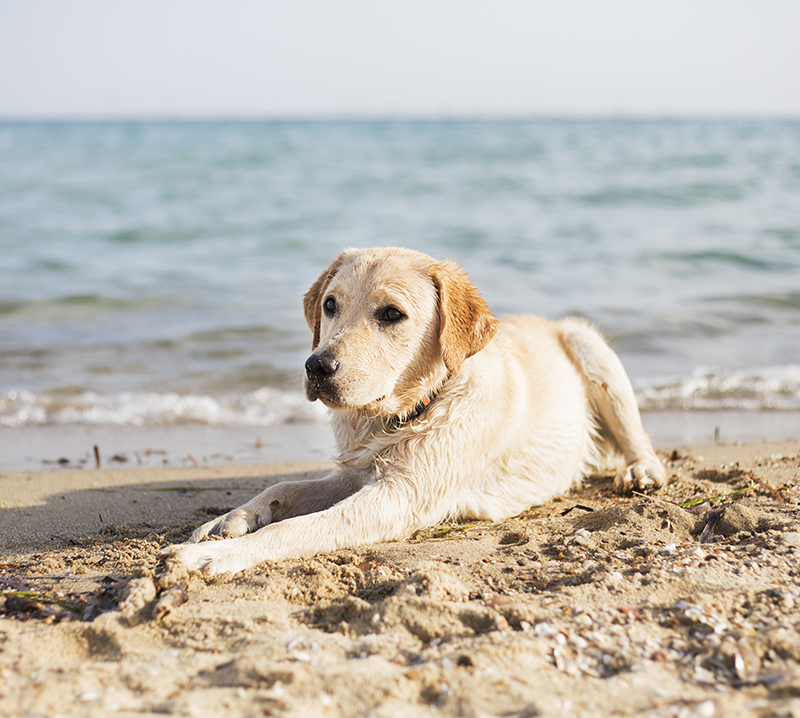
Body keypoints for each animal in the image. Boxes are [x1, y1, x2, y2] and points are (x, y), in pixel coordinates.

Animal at [161, 250, 664, 576]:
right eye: (330, 305)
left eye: (391, 314)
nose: (316, 366)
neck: (406, 412)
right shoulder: (355, 472)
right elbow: (282, 488)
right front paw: (227, 521)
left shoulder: (400, 496)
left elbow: (296, 529)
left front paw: (214, 558)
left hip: (590, 346)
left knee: (640, 441)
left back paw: (641, 472)